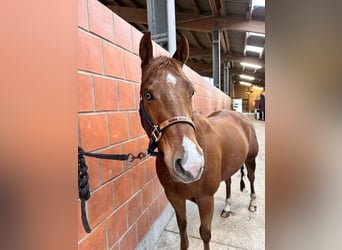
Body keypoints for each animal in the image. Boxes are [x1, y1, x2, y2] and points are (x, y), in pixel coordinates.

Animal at [138, 31, 258, 250]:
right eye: (147, 94)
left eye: (191, 92)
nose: (190, 165)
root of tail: (240, 116)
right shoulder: (174, 197)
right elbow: (182, 228)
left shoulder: (206, 200)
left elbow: (205, 234)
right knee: (229, 181)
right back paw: (227, 207)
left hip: (251, 159)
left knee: (252, 178)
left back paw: (253, 204)